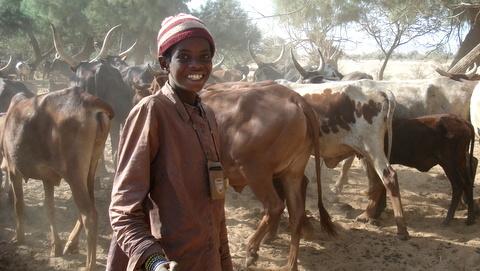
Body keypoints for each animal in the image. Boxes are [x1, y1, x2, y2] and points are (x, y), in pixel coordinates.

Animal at [1, 87, 113, 271]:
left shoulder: (13, 171)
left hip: (74, 174)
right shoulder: (47, 178)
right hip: (91, 167)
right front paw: (56, 246)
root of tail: (89, 101)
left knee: (89, 215)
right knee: (89, 207)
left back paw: (89, 265)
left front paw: (19, 238)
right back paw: (71, 243)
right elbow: (50, 209)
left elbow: (19, 205)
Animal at [336, 113, 478, 226]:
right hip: (460, 163)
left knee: (458, 186)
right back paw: (470, 218)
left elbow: (376, 187)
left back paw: (448, 219)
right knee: (467, 183)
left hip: (449, 164)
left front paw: (369, 216)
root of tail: (463, 121)